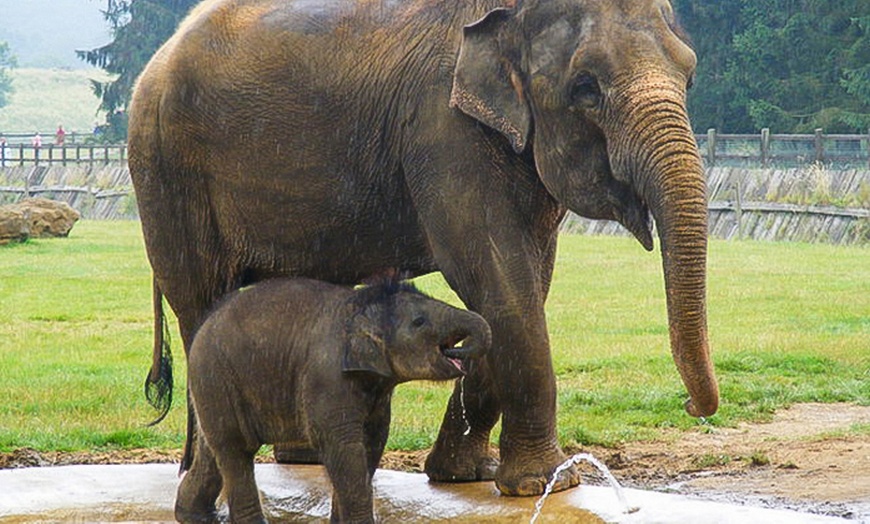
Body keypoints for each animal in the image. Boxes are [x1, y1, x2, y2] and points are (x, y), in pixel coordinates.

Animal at [175, 276, 490, 520]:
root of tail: (202, 327)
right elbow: (343, 447)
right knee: (235, 450)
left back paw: (194, 516)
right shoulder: (328, 377)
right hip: (216, 376)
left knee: (214, 448)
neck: (360, 305)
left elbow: (371, 444)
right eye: (419, 322)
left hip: (214, 388)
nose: (459, 352)